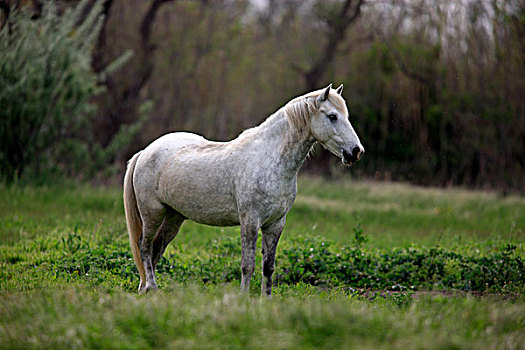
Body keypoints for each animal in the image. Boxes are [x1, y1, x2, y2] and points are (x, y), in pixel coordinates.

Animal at [123, 84, 362, 296]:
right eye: (332, 116)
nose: (356, 151)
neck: (270, 159)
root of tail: (145, 151)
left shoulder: (275, 224)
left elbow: (268, 267)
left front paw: (266, 300)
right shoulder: (250, 221)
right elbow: (248, 265)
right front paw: (244, 298)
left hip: (174, 217)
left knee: (156, 248)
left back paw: (145, 288)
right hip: (152, 213)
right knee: (144, 246)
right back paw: (151, 287)